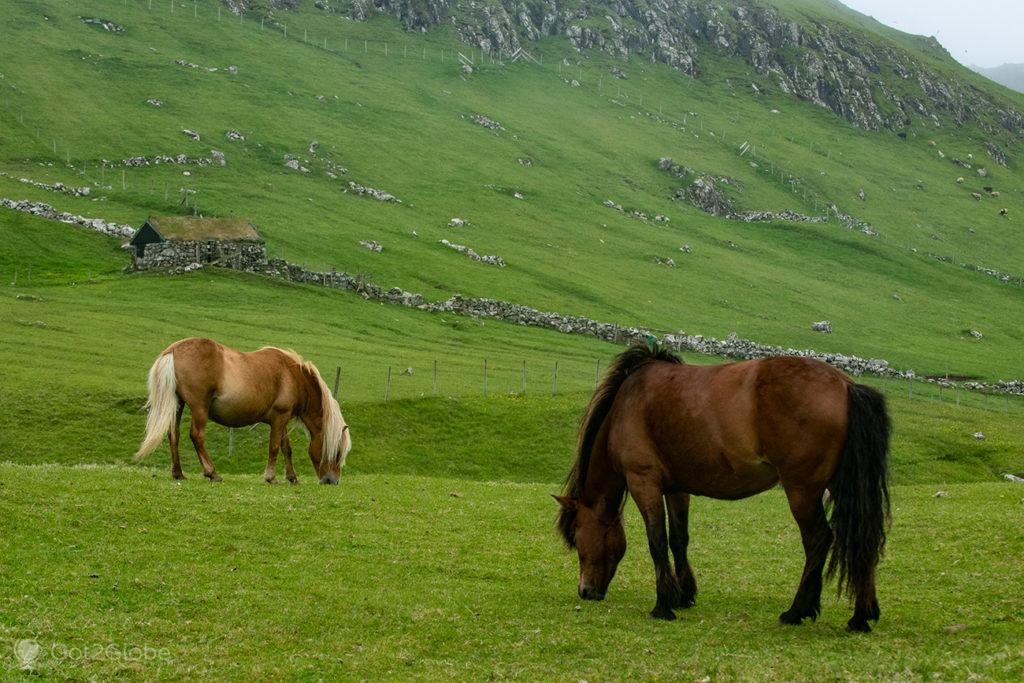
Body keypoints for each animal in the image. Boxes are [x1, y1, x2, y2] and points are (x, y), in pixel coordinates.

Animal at [136, 339, 352, 483]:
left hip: (178, 404)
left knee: (174, 435)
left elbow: (286, 448)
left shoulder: (281, 420)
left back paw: (178, 473)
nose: (332, 481)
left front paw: (292, 477)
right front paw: (270, 477)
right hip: (199, 408)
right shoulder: (280, 418)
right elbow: (274, 447)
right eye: (337, 452)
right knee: (196, 436)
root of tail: (173, 350)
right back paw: (212, 473)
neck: (292, 375)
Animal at [552, 344, 888, 634]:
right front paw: (683, 595)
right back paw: (860, 617)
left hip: (801, 491)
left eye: (577, 540)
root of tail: (845, 385)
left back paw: (797, 611)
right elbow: (679, 539)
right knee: (863, 539)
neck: (628, 404)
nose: (586, 592)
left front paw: (663, 606)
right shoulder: (677, 489)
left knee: (819, 539)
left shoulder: (643, 482)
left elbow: (657, 541)